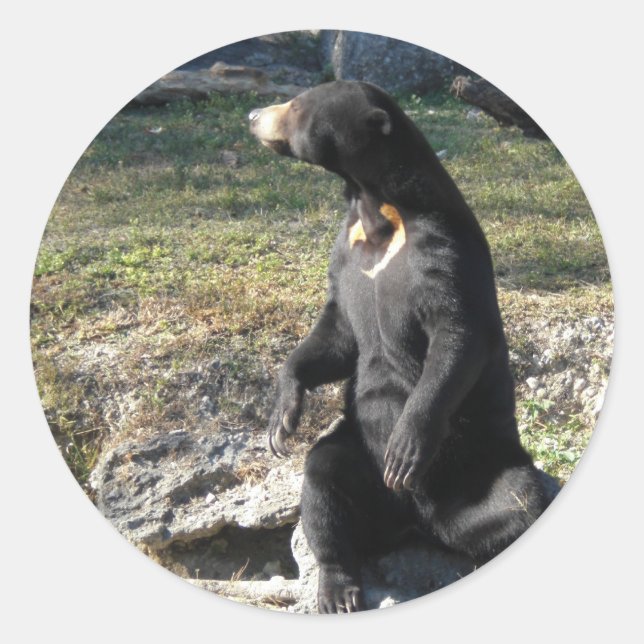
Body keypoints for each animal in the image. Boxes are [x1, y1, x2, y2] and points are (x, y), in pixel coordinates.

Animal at [249, 80, 552, 613]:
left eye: (297, 105)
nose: (252, 115)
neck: (376, 209)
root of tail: (418, 523)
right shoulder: (345, 255)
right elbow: (339, 332)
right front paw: (281, 417)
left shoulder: (442, 248)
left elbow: (457, 334)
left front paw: (407, 444)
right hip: (359, 457)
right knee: (324, 480)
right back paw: (337, 588)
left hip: (483, 464)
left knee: (519, 498)